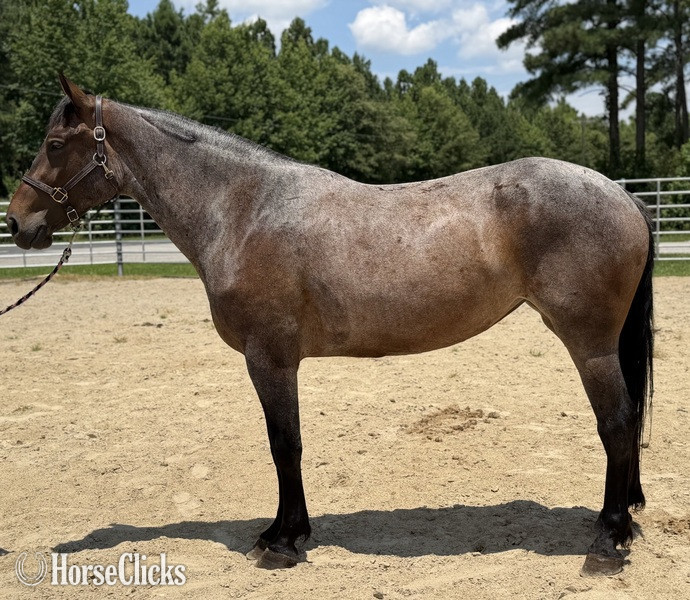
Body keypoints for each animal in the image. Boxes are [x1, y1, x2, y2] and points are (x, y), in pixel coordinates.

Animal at [6, 75, 654, 575]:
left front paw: (282, 541)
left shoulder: (269, 358)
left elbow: (284, 444)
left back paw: (606, 541)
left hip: (590, 344)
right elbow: (286, 445)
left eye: (55, 143)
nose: (16, 223)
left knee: (618, 424)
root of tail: (622, 194)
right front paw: (287, 532)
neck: (243, 208)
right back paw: (620, 526)